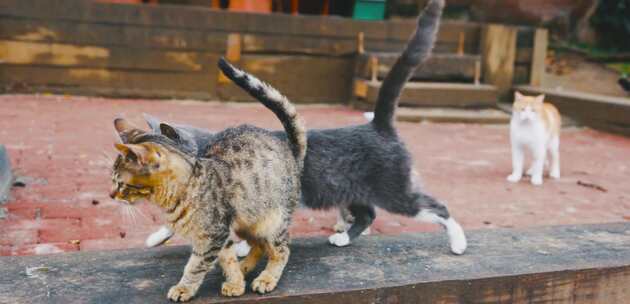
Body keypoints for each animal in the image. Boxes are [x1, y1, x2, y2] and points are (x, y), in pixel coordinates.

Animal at [111, 64, 308, 302]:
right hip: (247, 220)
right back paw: (245, 267)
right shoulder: (221, 234)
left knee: (281, 250)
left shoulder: (214, 234)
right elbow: (227, 258)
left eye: (120, 183)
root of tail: (291, 153)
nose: (111, 195)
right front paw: (236, 282)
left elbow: (195, 265)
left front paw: (184, 288)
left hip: (272, 221)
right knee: (259, 245)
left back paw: (267, 278)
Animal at [146, 0, 466, 255]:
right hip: (350, 191)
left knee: (437, 208)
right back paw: (344, 237)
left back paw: (458, 242)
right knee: (367, 214)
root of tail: (378, 126)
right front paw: (157, 236)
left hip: (394, 192)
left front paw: (242, 248)